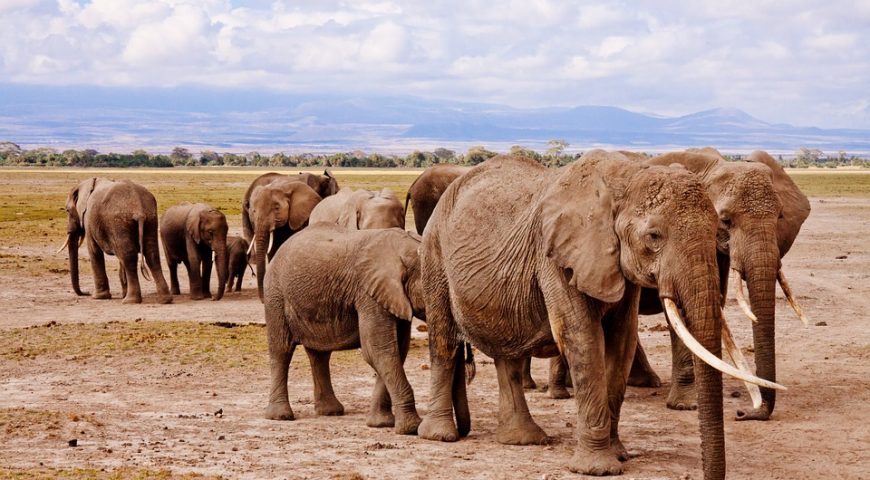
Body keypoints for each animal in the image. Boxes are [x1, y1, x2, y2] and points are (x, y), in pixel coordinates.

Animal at [263, 224, 425, 435]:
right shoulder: (368, 294)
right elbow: (378, 350)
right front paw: (411, 428)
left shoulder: (393, 297)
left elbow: (396, 350)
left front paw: (381, 424)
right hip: (275, 294)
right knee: (281, 350)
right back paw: (280, 416)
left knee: (319, 355)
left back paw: (330, 412)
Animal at [417, 151, 782, 479]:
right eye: (654, 237)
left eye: (718, 228)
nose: (741, 413)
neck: (625, 178)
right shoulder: (556, 256)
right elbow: (583, 338)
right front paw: (598, 469)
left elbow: (621, 342)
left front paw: (619, 454)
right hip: (434, 254)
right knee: (444, 341)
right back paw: (440, 435)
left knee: (507, 354)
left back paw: (522, 440)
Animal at [623, 148, 811, 420]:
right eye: (725, 220)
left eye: (780, 216)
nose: (744, 413)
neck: (716, 166)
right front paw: (688, 405)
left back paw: (645, 382)